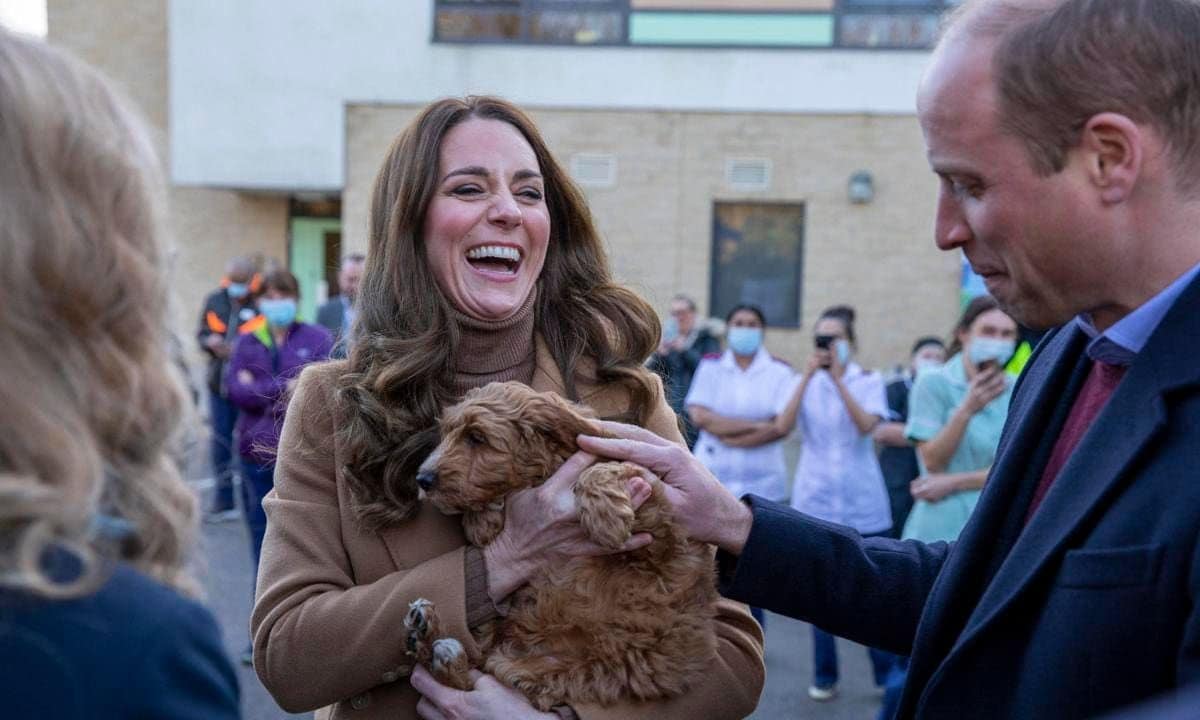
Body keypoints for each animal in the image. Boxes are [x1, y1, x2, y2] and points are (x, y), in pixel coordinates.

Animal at [408, 381, 715, 710]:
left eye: (476, 437)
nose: (422, 479)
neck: (541, 472)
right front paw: (483, 518)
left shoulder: (660, 529)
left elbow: (605, 468)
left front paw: (606, 518)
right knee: (476, 666)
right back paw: (427, 635)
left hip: (557, 670)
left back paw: (434, 643)